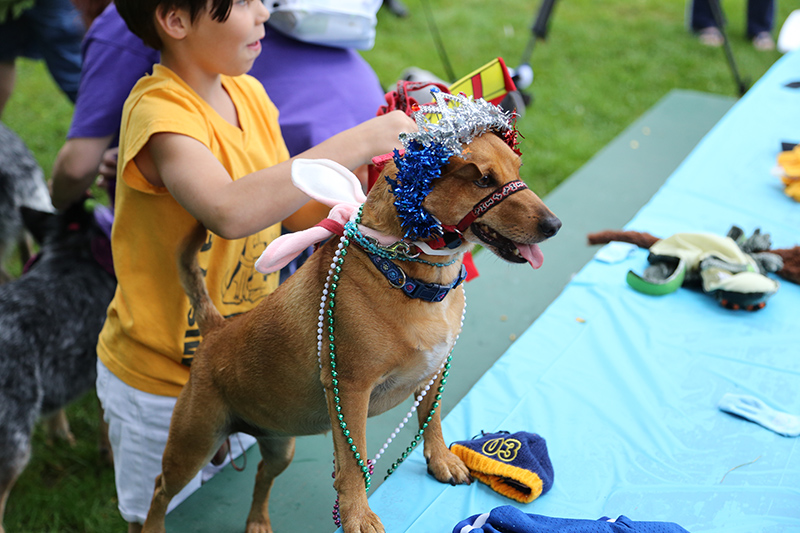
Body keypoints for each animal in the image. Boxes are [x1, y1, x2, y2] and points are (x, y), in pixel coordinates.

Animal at [141, 130, 560, 532]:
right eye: (483, 180)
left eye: (517, 170)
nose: (554, 226)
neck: (405, 275)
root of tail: (214, 332)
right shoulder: (351, 390)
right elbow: (353, 464)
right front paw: (358, 515)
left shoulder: (434, 371)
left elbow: (432, 418)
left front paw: (440, 460)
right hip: (193, 445)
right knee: (160, 490)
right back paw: (153, 528)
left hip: (279, 446)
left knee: (261, 474)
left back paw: (258, 521)